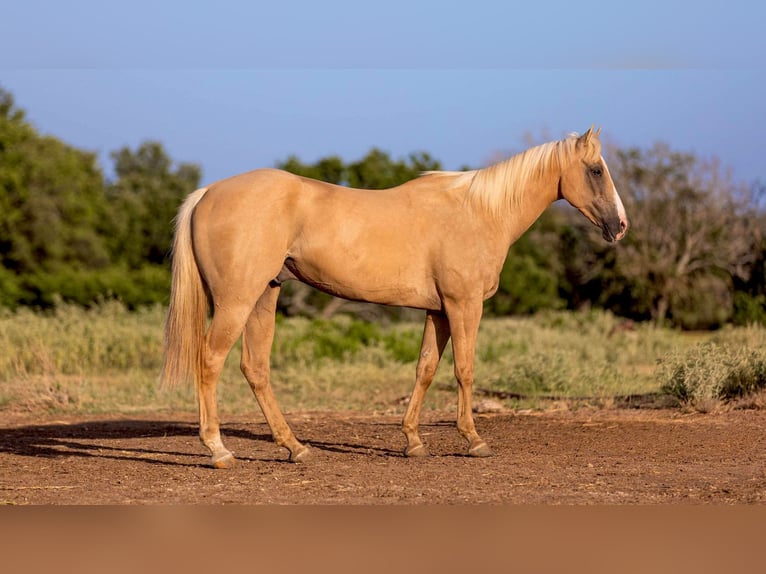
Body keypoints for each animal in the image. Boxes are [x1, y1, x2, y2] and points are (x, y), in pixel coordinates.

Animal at [162, 128, 632, 470]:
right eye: (595, 170)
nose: (621, 225)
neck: (479, 212)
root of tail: (207, 193)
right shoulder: (464, 305)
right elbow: (464, 370)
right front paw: (473, 440)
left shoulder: (437, 311)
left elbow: (425, 369)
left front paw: (413, 442)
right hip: (236, 303)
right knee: (210, 360)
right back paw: (218, 450)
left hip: (264, 297)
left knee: (254, 368)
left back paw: (295, 447)